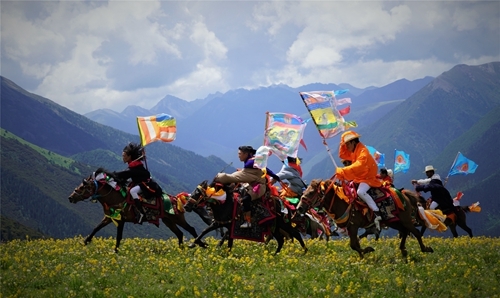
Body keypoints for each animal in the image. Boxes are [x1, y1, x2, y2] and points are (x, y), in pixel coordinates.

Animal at [67, 169, 202, 253]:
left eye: (82, 187)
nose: (70, 198)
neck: (115, 197)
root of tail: (177, 199)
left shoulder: (120, 220)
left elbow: (119, 236)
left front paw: (115, 251)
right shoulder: (109, 218)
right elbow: (96, 228)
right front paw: (85, 242)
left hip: (177, 219)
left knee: (191, 229)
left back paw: (199, 244)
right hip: (168, 221)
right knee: (180, 234)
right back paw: (181, 249)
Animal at [296, 179, 434, 258]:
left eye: (311, 193)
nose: (299, 208)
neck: (343, 202)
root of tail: (403, 194)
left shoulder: (353, 226)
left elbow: (353, 244)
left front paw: (367, 250)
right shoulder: (351, 228)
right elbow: (355, 244)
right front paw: (363, 255)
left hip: (405, 219)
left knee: (415, 232)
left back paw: (426, 249)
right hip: (393, 221)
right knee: (405, 232)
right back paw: (403, 251)